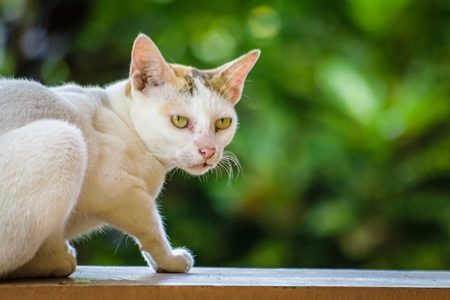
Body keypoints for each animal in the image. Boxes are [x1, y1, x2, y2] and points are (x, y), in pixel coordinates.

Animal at [0, 33, 260, 278]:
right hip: (65, 139)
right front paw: (170, 259)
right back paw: (55, 263)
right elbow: (151, 226)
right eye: (179, 120)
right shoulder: (118, 191)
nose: (208, 150)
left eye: (223, 123)